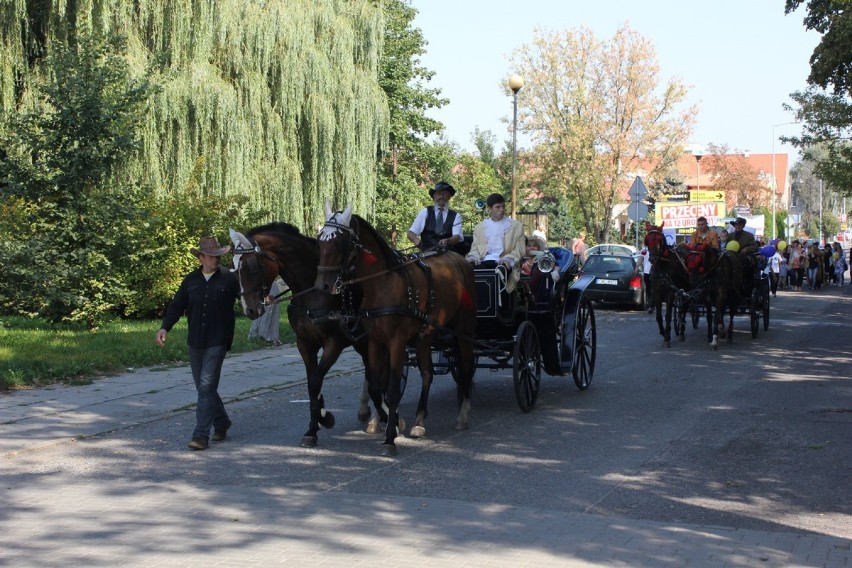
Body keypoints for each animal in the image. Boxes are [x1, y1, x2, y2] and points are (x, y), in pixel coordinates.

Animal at [226, 224, 386, 446]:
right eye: (234, 268)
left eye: (251, 266)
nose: (248, 309)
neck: (314, 292)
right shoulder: (304, 343)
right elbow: (311, 383)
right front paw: (315, 425)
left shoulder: (334, 343)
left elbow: (316, 380)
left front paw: (323, 418)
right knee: (370, 370)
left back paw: (378, 416)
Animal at [312, 204, 476, 458]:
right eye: (320, 241)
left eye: (339, 243)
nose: (323, 286)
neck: (384, 283)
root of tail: (460, 260)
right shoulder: (374, 341)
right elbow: (376, 386)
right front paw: (389, 421)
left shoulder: (397, 342)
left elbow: (392, 389)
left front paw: (390, 436)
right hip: (425, 335)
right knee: (427, 373)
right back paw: (419, 420)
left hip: (464, 328)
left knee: (466, 367)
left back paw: (463, 413)